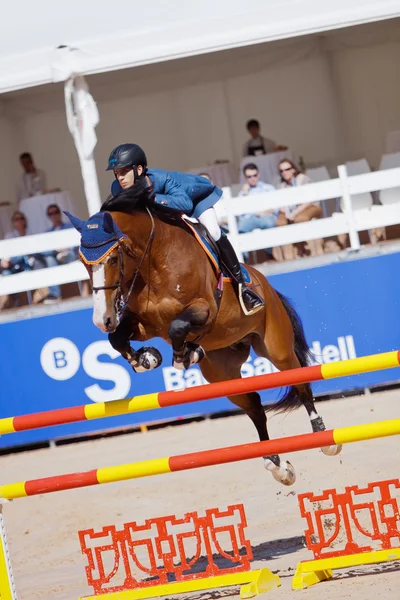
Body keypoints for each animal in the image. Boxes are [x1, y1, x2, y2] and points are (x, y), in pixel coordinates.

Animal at [67, 195, 342, 486]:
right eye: (84, 264)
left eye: (112, 259)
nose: (102, 319)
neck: (154, 261)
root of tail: (264, 281)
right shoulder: (144, 325)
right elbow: (117, 339)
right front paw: (146, 358)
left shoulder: (203, 309)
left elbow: (177, 327)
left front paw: (182, 355)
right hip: (222, 375)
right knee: (254, 405)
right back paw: (277, 465)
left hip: (277, 349)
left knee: (301, 385)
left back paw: (324, 438)